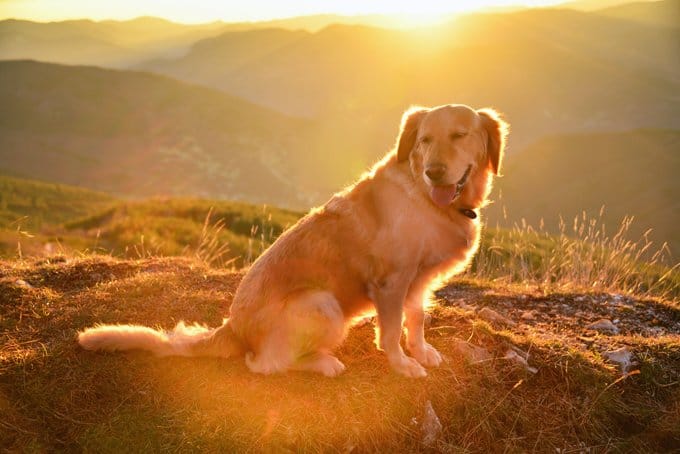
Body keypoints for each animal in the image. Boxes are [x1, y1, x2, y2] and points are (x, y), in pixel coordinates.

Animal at [78, 104, 504, 378]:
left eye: (459, 135)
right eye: (425, 140)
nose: (434, 172)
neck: (426, 196)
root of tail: (232, 327)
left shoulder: (418, 280)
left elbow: (415, 320)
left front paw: (422, 351)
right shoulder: (391, 281)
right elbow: (390, 332)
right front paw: (402, 366)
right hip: (322, 303)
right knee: (264, 365)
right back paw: (324, 363)